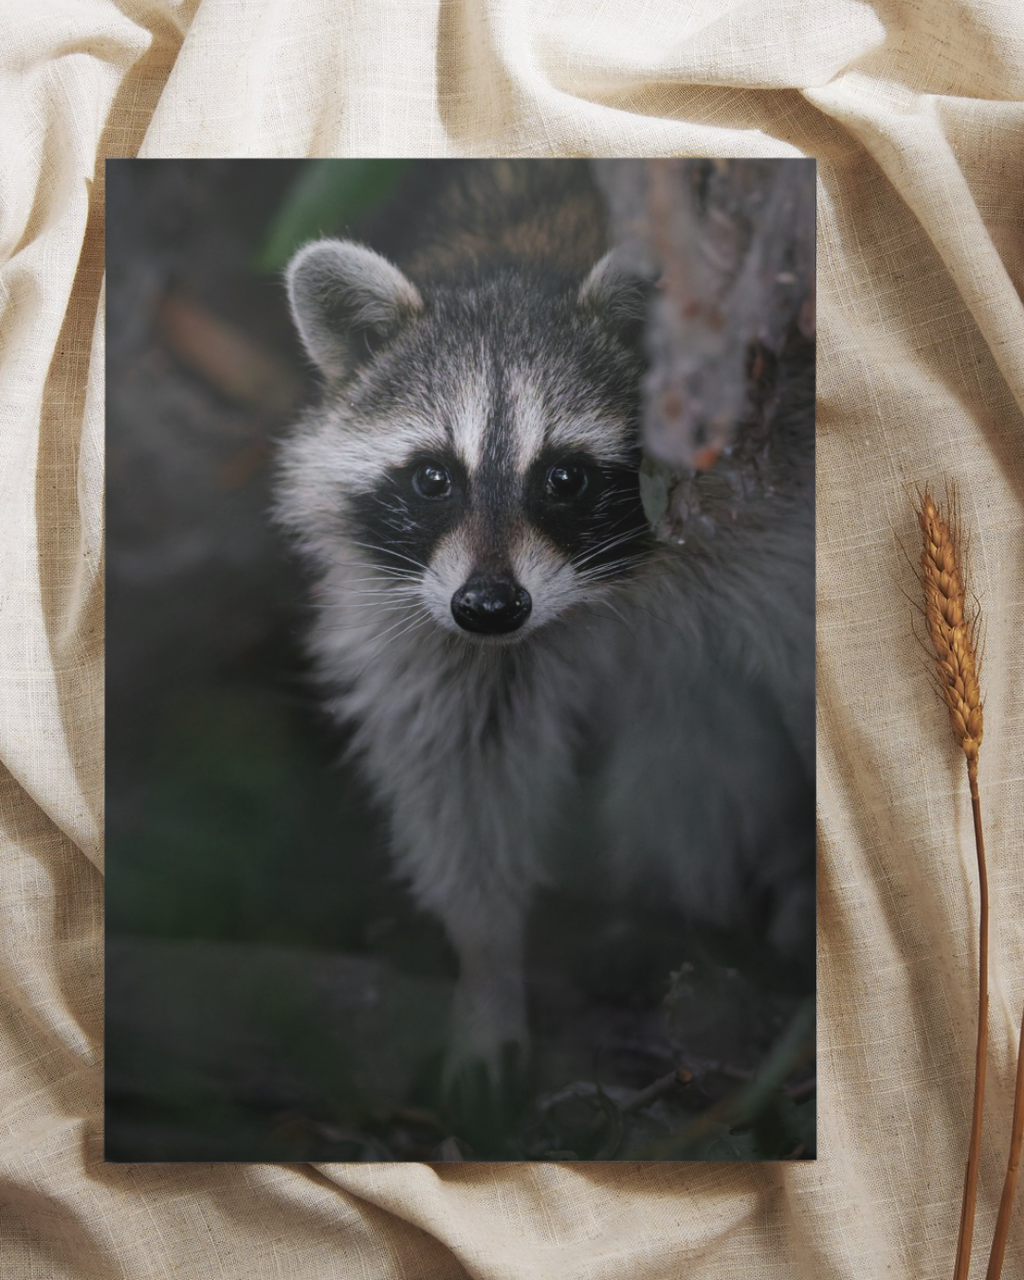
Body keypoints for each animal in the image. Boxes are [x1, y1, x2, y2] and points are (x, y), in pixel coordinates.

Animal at [275, 161, 814, 1103]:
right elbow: (461, 766)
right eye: (432, 479)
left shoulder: (771, 509)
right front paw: (488, 964)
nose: (491, 609)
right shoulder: (422, 616)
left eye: (563, 477)